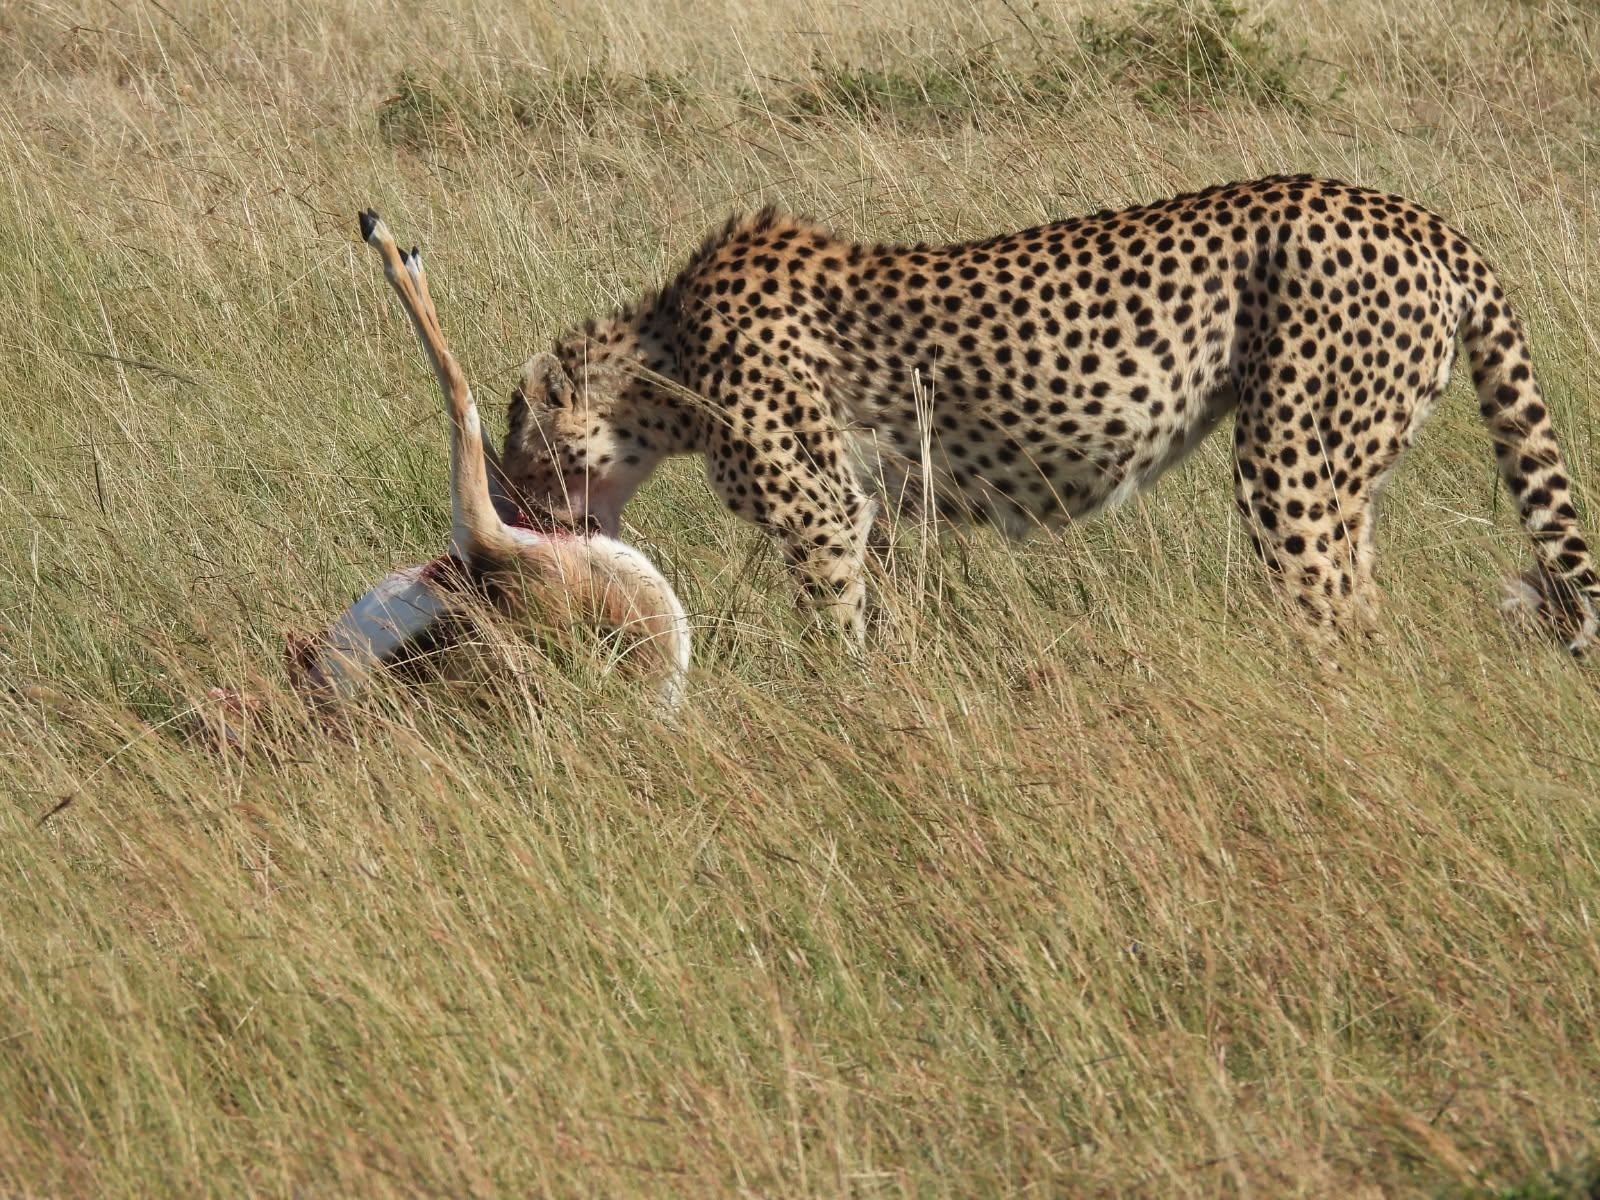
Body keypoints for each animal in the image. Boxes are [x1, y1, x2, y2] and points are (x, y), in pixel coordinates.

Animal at [500, 175, 1600, 653]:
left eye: (517, 454)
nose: (509, 515)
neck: (660, 361)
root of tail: (1426, 220)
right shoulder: (873, 507)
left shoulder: (819, 512)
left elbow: (830, 629)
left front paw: (837, 715)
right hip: (1344, 469)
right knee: (1362, 599)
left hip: (1287, 461)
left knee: (1330, 609)